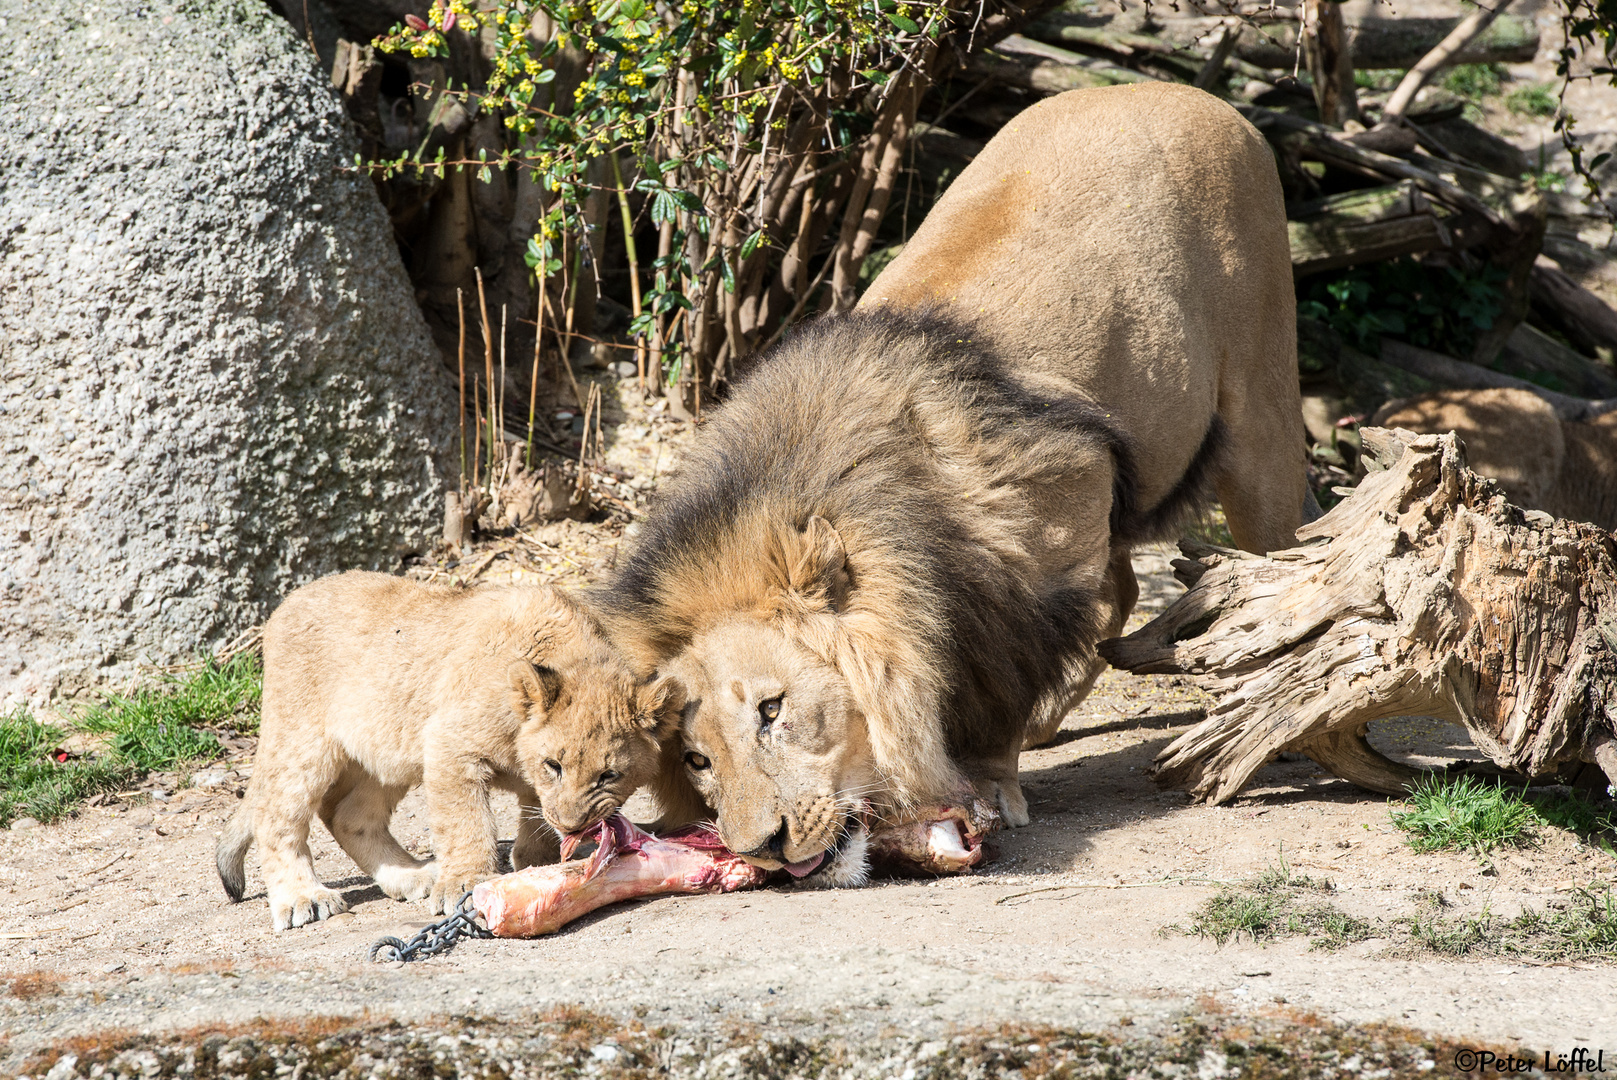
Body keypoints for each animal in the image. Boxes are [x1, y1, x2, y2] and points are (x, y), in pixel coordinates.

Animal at [601, 84, 1306, 885]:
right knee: (1123, 591)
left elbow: (1008, 684)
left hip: (1260, 420)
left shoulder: (1062, 514)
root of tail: (1195, 95)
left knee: (1271, 561)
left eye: (772, 711)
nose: (762, 847)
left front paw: (993, 783)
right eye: (697, 759)